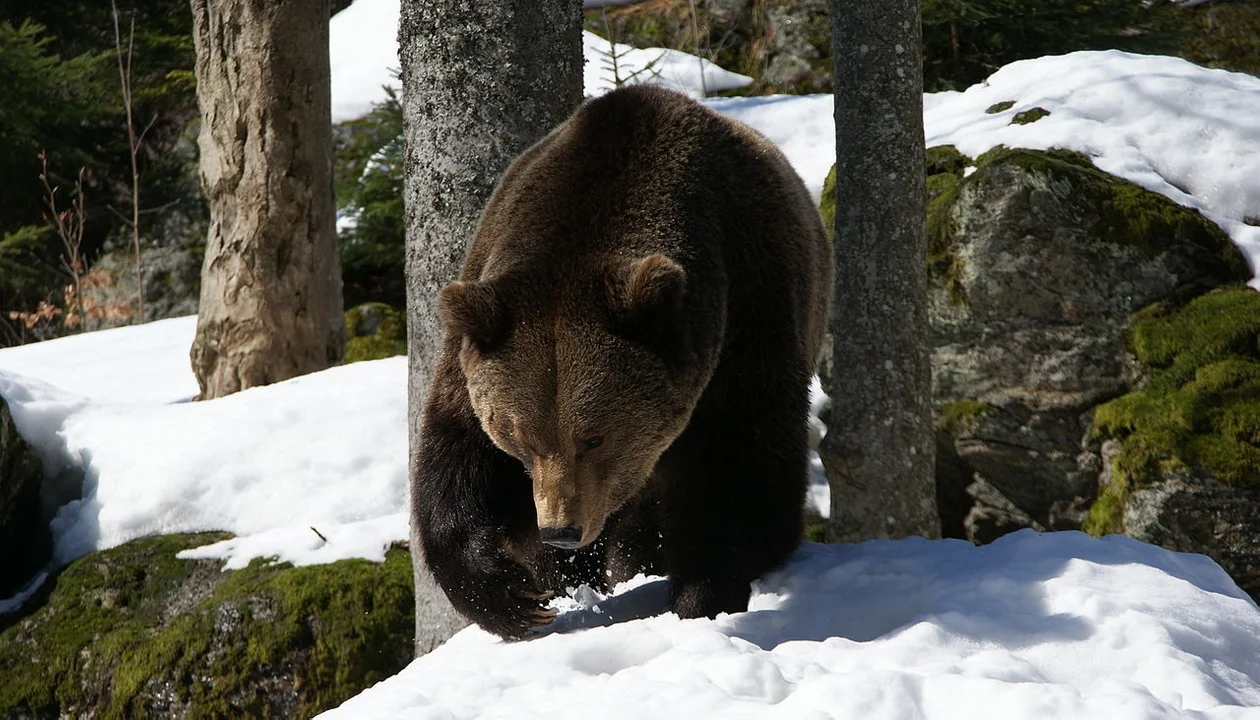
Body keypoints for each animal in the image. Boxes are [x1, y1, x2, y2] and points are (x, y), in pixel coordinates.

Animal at [408, 84, 831, 643]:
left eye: (596, 437)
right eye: (522, 438)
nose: (562, 530)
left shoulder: (748, 314)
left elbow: (741, 472)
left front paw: (702, 594)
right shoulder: (481, 323)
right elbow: (455, 459)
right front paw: (514, 595)